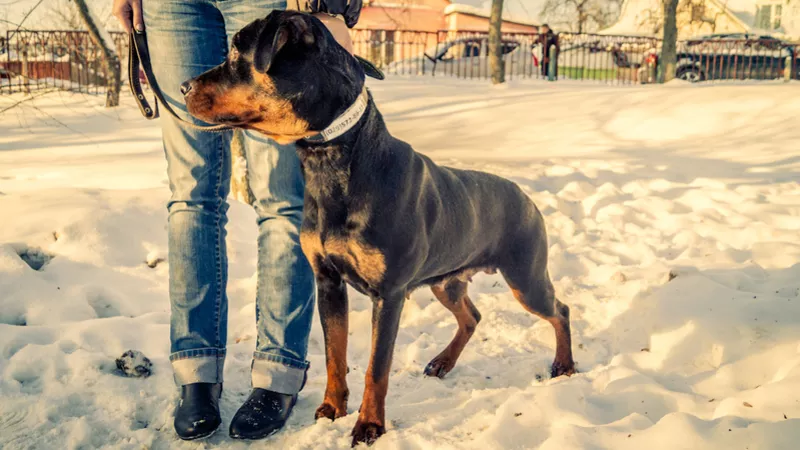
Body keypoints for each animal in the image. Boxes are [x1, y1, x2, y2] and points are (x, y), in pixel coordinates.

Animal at [183, 10, 576, 446]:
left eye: (237, 52)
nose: (182, 86)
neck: (331, 157)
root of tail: (527, 199)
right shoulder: (328, 282)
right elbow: (334, 355)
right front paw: (332, 409)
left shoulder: (390, 294)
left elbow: (377, 366)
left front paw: (369, 425)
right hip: (446, 281)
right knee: (471, 316)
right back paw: (443, 362)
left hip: (525, 277)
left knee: (560, 310)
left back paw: (564, 365)